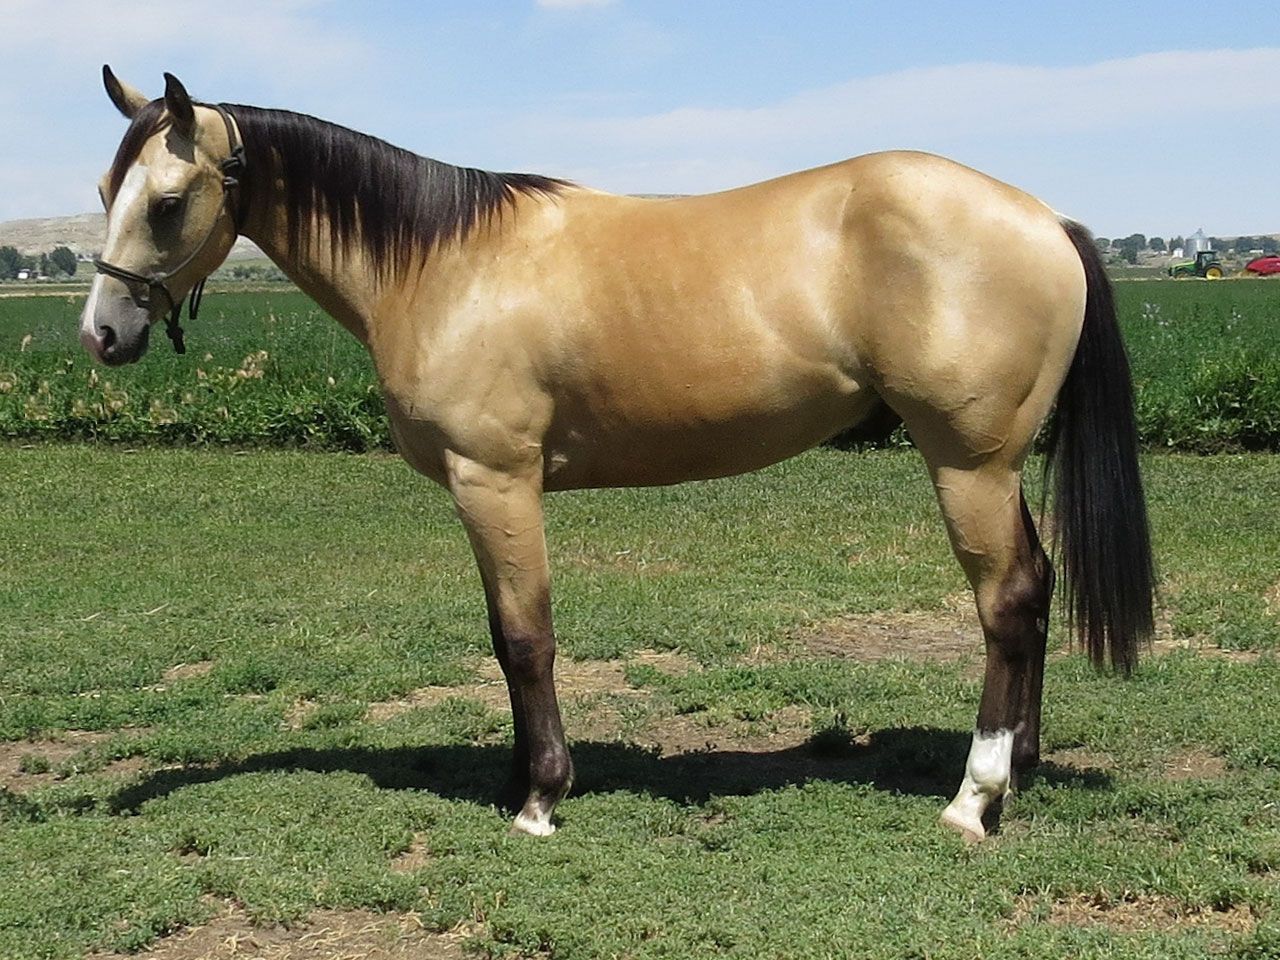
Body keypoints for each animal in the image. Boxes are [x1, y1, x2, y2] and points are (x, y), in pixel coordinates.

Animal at [80, 68, 1154, 842]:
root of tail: (1046, 218)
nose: (101, 334)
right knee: (1036, 588)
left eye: (167, 201)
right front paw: (519, 777)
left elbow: (527, 638)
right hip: (995, 468)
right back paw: (1018, 768)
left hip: (968, 465)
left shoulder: (496, 482)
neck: (442, 262)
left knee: (1006, 601)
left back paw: (974, 799)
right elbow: (503, 638)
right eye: (104, 188)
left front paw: (540, 799)